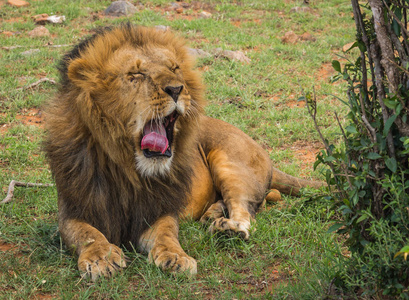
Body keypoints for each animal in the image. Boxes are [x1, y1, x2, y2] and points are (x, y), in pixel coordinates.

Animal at [44, 24, 324, 282]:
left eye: (174, 68)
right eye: (136, 73)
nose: (176, 89)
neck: (128, 169)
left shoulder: (159, 209)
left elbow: (167, 234)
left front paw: (175, 257)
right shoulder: (73, 210)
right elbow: (87, 234)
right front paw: (101, 258)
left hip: (231, 162)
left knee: (247, 212)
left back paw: (227, 229)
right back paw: (213, 216)